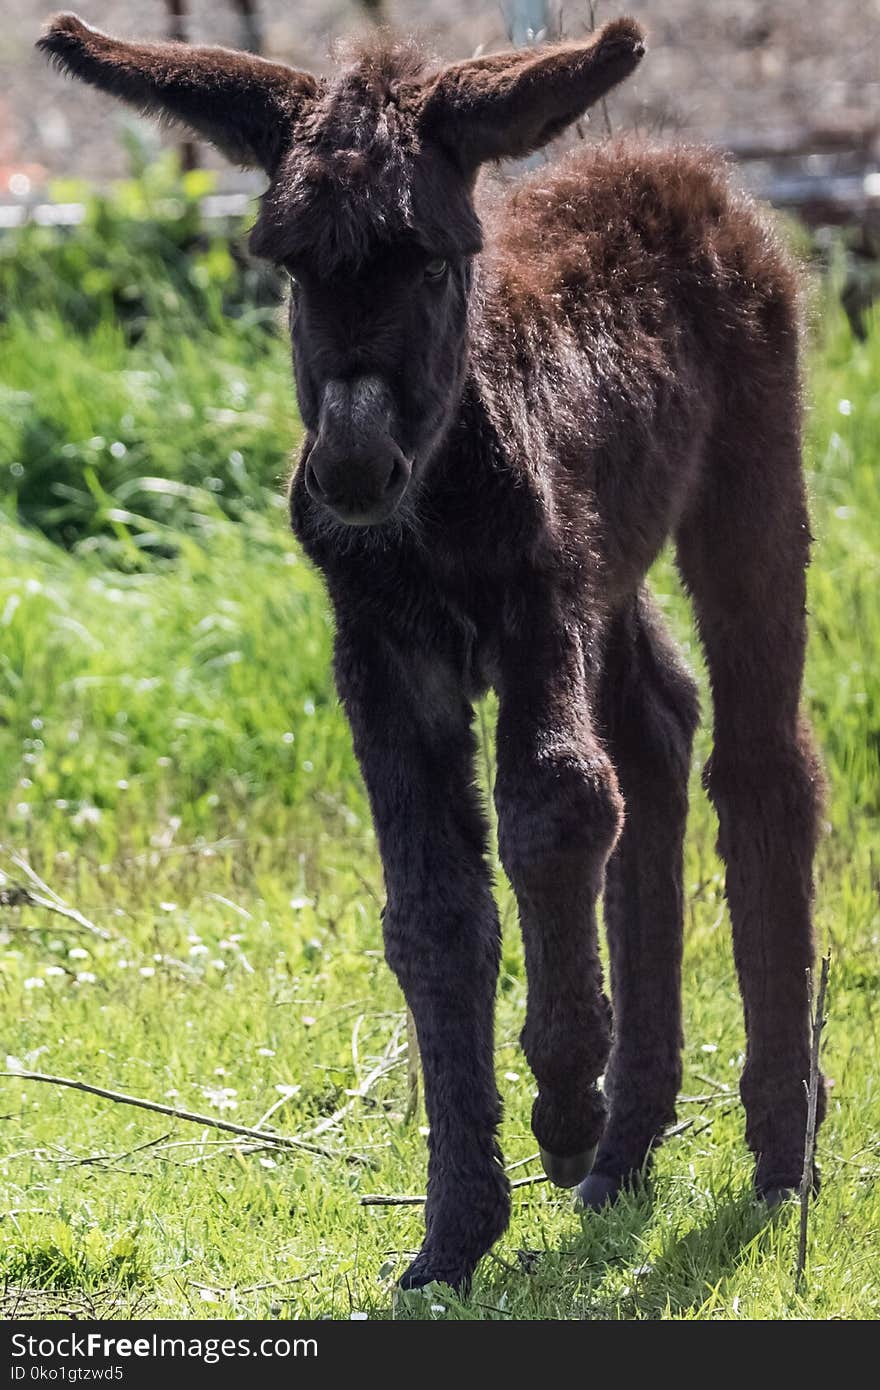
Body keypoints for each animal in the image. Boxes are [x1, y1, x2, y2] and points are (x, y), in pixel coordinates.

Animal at [41, 13, 823, 1289]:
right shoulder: (381, 653)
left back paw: (774, 1151)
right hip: (611, 563)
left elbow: (555, 807)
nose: (355, 469)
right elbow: (432, 912)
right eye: (292, 269)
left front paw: (560, 1099)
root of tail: (667, 161)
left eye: (433, 263)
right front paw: (456, 1230)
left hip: (746, 481)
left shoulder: (533, 605)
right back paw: (630, 1142)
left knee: (760, 766)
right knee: (658, 728)